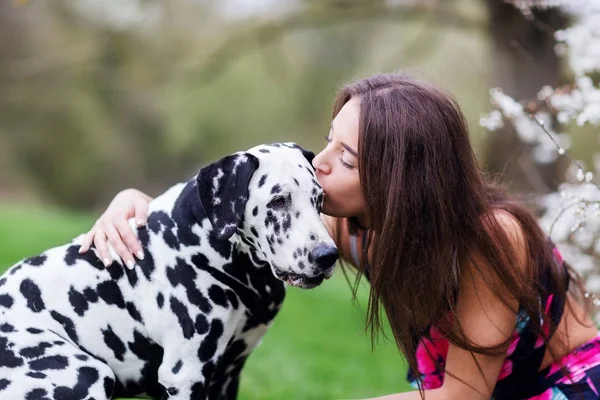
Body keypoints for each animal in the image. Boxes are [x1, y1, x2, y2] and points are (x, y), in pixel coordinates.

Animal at [0, 144, 338, 400]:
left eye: (319, 199)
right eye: (278, 201)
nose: (327, 256)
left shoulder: (228, 376)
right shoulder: (185, 376)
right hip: (87, 374)